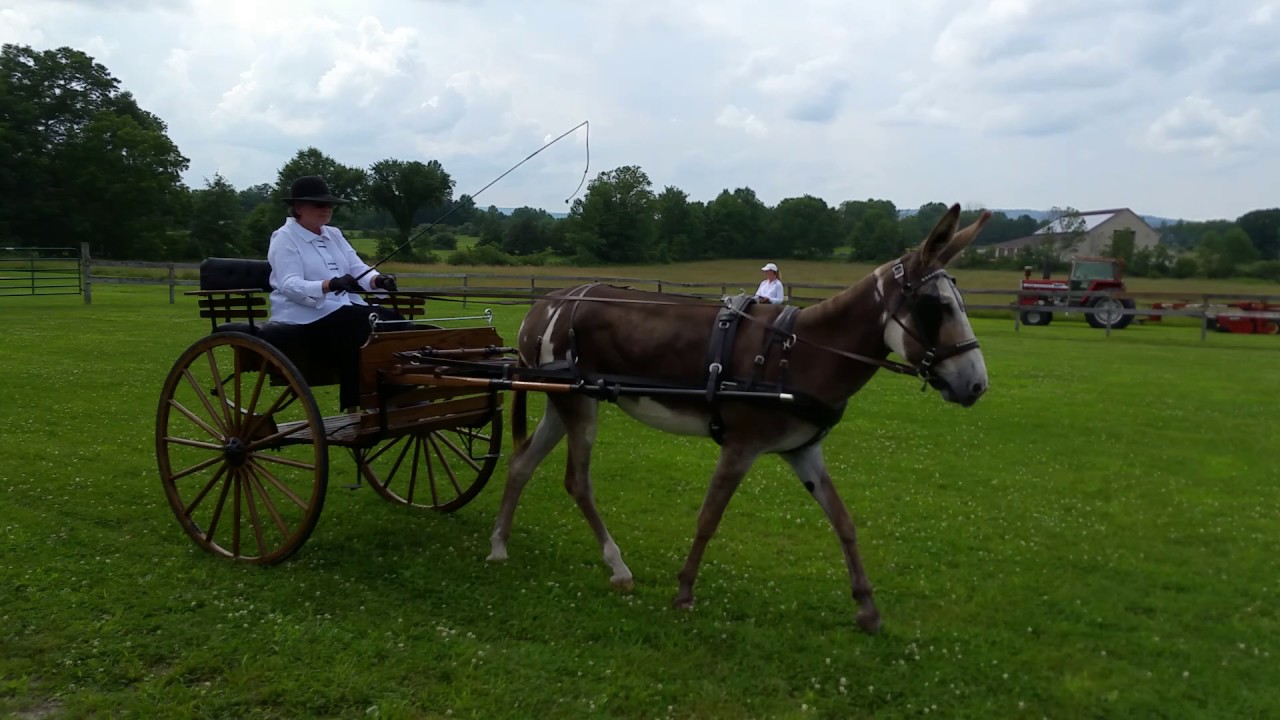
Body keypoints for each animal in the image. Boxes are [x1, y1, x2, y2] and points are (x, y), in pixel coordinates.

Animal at [485, 203, 992, 633]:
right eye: (937, 307)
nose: (976, 384)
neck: (799, 354)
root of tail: (546, 303)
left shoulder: (804, 451)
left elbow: (844, 522)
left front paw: (866, 607)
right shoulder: (741, 446)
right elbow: (709, 517)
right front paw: (685, 591)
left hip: (561, 403)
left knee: (522, 464)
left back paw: (499, 545)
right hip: (580, 405)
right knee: (578, 481)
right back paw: (617, 565)